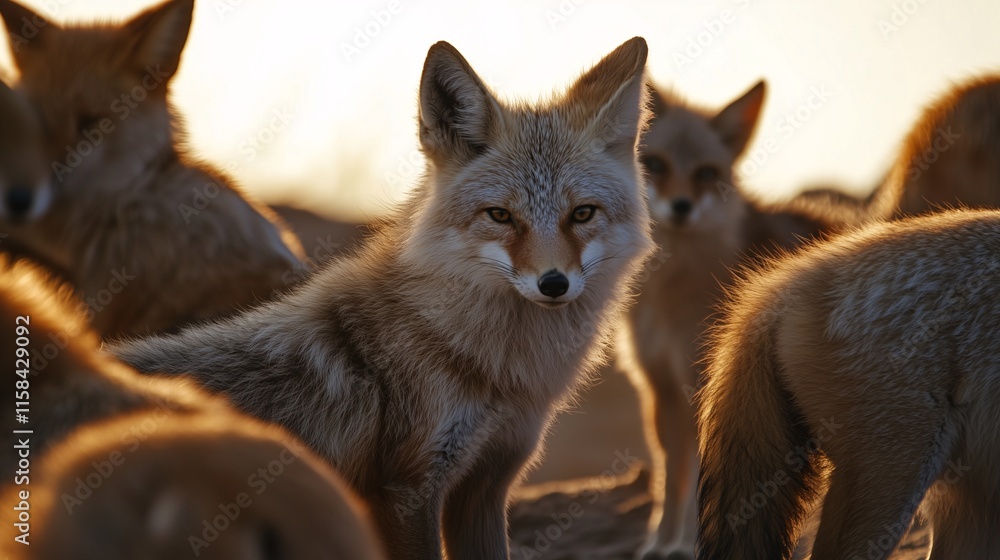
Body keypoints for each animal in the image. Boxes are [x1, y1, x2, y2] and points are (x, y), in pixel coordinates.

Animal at [111, 37, 655, 560]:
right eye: (500, 216)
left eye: (582, 214)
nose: (553, 283)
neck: (494, 369)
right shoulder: (405, 489)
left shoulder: (486, 485)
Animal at [622, 80, 844, 560]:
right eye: (655, 165)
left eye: (706, 173)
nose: (681, 207)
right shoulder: (661, 388)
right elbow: (672, 476)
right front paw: (661, 541)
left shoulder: (704, 384)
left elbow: (697, 479)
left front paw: (686, 545)